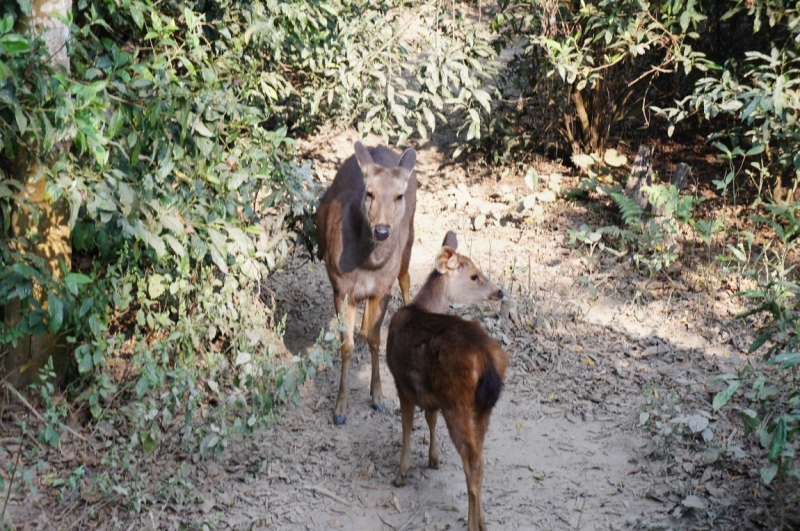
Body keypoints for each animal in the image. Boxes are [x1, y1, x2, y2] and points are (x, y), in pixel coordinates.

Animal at [314, 140, 416, 424]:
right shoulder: (340, 288)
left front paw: (378, 397)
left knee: (405, 278)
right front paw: (340, 409)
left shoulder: (383, 289)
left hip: (409, 242)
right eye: (369, 193)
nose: (382, 230)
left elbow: (376, 340)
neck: (367, 266)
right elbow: (345, 346)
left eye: (398, 196)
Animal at [388, 232, 506, 531]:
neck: (422, 305)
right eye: (475, 275)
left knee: (472, 461)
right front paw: (433, 459)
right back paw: (482, 520)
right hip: (482, 408)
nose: (500, 291)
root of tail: (485, 361)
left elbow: (406, 425)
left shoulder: (400, 380)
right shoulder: (430, 394)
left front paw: (401, 473)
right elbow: (430, 419)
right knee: (481, 459)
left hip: (457, 401)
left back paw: (472, 524)